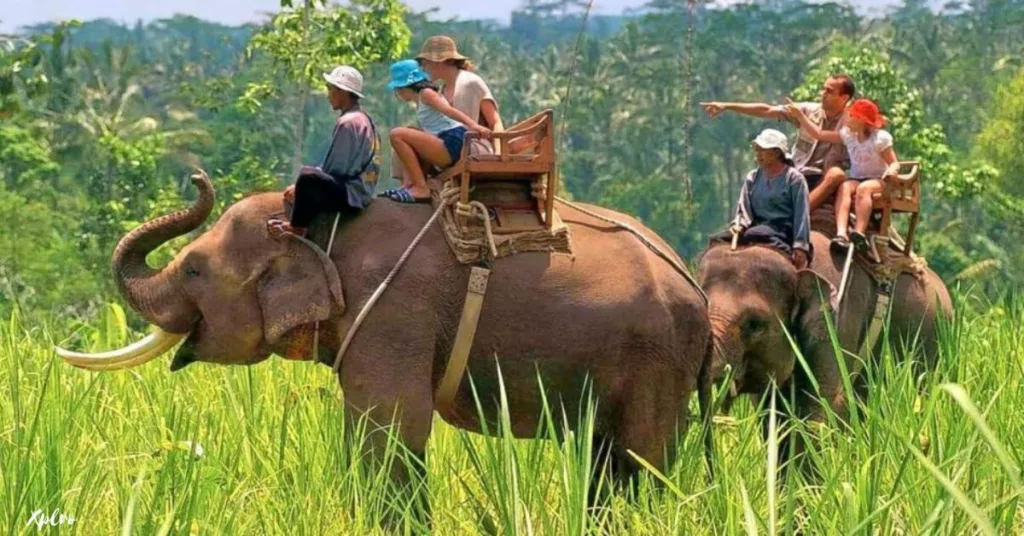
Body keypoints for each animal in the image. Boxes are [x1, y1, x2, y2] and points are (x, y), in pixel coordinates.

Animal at [58, 174, 712, 518]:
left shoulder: (395, 309)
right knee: (609, 455)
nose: (198, 179)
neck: (323, 226)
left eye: (193, 270)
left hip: (655, 357)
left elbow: (393, 421)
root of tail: (696, 289)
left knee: (638, 456)